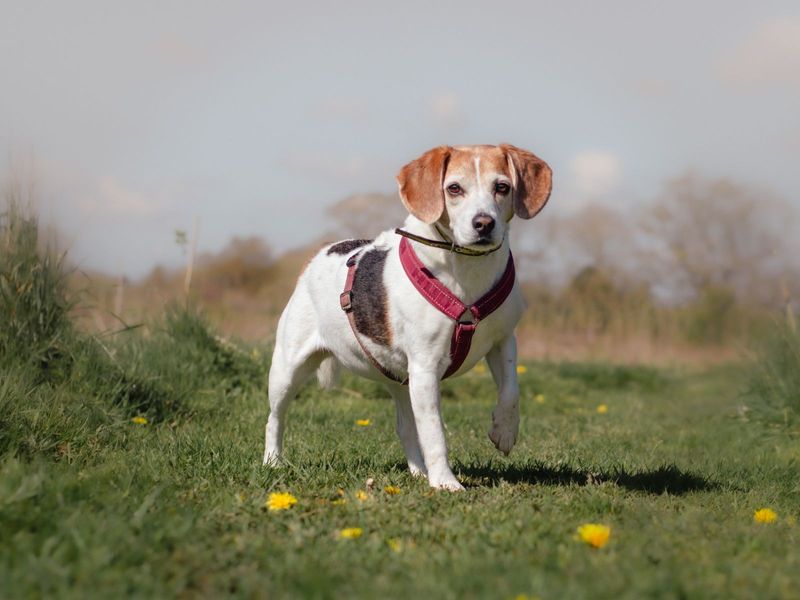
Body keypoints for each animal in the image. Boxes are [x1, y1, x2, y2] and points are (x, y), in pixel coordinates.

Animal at [266, 146, 552, 492]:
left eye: (502, 187)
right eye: (454, 188)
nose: (484, 223)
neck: (466, 269)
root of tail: (324, 250)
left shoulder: (503, 341)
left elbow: (511, 391)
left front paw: (504, 432)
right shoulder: (427, 366)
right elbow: (435, 432)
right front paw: (445, 483)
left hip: (403, 380)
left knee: (406, 427)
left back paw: (419, 471)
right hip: (287, 369)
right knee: (275, 418)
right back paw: (272, 462)